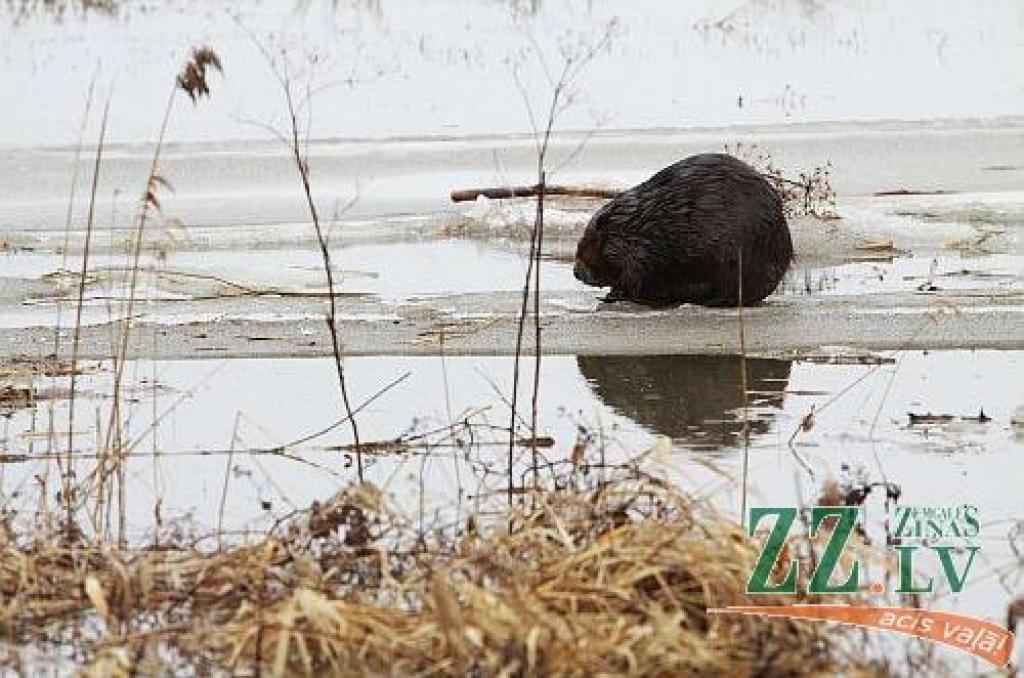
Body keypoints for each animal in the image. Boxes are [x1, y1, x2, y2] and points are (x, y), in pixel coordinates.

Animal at [577, 153, 790, 307]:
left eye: (586, 245)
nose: (576, 272)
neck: (635, 226)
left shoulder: (639, 252)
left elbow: (634, 276)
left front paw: (612, 295)